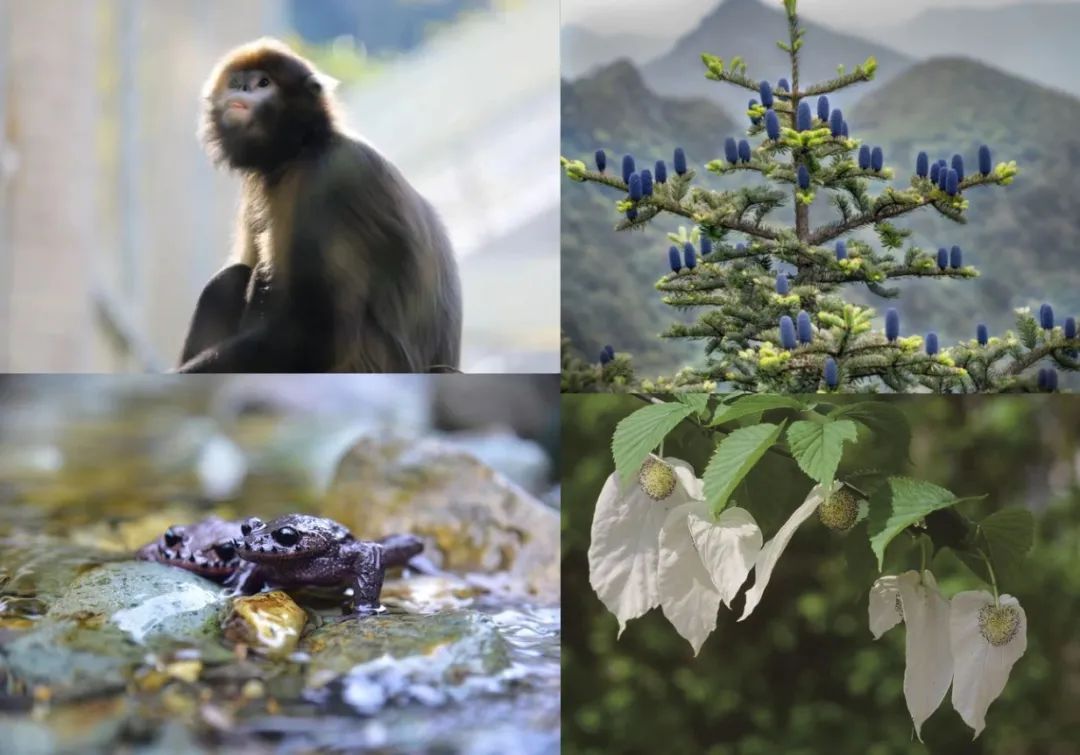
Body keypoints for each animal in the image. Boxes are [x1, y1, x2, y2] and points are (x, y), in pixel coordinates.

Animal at [176, 38, 460, 375]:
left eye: (263, 83)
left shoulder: (327, 181)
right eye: (237, 82)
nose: (243, 88)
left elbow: (317, 337)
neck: (301, 148)